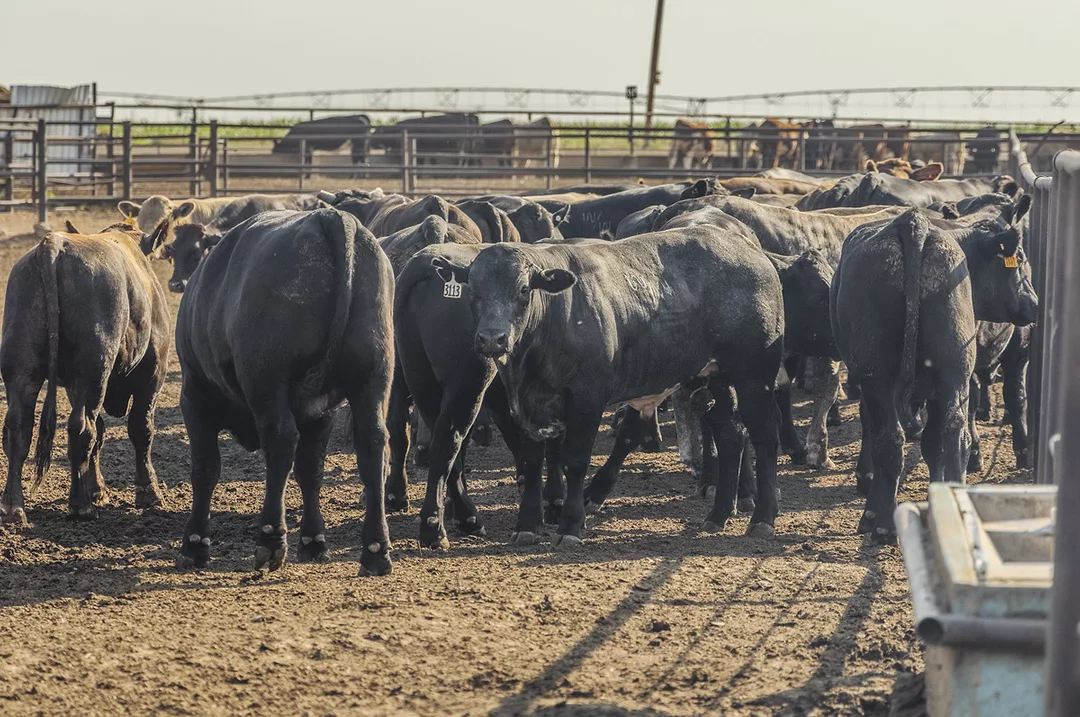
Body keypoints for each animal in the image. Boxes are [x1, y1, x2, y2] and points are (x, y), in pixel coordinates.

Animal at [0, 221, 170, 524]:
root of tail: (53, 244)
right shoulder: (153, 374)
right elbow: (141, 429)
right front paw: (148, 492)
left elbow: (102, 432)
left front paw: (97, 489)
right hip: (92, 370)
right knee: (81, 429)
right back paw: (80, 505)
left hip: (22, 368)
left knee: (18, 430)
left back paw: (13, 506)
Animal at [173, 209, 395, 575]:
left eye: (191, 253)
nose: (175, 282)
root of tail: (329, 216)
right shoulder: (323, 413)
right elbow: (311, 470)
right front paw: (314, 540)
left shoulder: (195, 398)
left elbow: (205, 468)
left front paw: (194, 544)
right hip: (373, 380)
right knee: (372, 444)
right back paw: (376, 550)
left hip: (267, 382)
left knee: (279, 441)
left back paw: (270, 540)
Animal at [429, 225, 786, 545]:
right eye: (473, 290)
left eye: (523, 290)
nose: (492, 338)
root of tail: (748, 248)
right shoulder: (525, 405)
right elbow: (531, 461)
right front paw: (527, 525)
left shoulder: (588, 397)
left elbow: (575, 460)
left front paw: (571, 525)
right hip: (717, 376)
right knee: (729, 434)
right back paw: (718, 515)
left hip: (755, 376)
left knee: (765, 436)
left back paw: (763, 519)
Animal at [831, 200, 1038, 542]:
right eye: (1018, 259)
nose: (1033, 302)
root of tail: (913, 224)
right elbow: (933, 441)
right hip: (953, 366)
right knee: (953, 428)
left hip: (879, 375)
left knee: (891, 437)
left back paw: (883, 523)